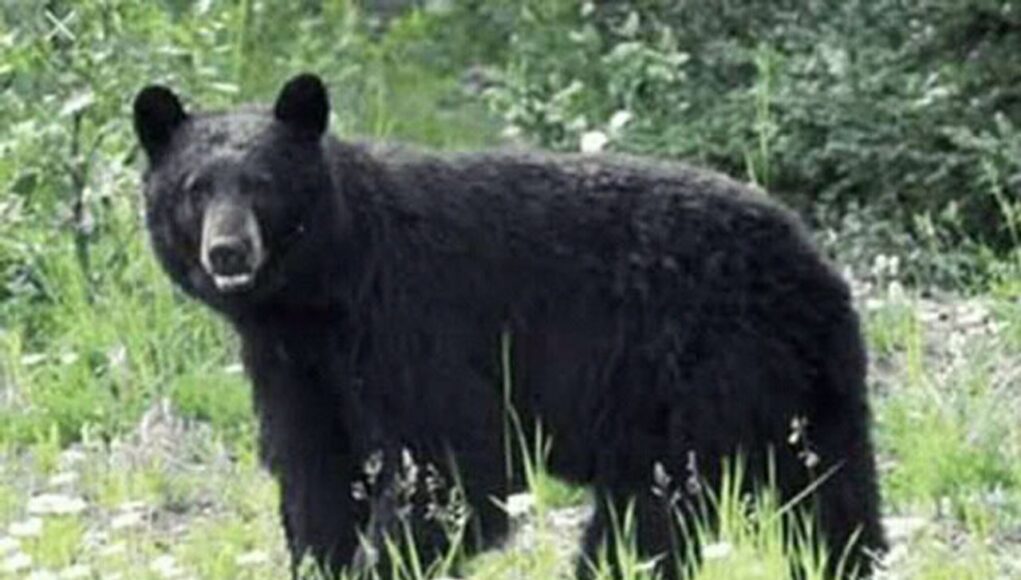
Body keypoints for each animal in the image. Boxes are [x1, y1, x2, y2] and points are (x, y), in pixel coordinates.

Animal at [132, 73, 886, 579]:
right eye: (195, 188)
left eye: (261, 184)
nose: (229, 251)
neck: (323, 290)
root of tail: (813, 263)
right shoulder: (294, 365)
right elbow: (313, 470)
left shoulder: (412, 320)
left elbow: (448, 466)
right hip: (804, 396)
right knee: (832, 500)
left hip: (700, 371)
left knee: (653, 511)